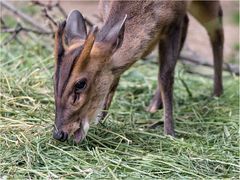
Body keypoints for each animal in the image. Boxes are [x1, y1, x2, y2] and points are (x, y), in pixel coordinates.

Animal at [52, 0, 223, 143]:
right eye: (54, 78)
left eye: (80, 84)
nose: (59, 134)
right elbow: (114, 80)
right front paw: (101, 121)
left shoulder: (174, 20)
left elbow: (165, 75)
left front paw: (170, 133)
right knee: (192, 23)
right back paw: (154, 105)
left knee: (217, 27)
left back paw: (217, 94)